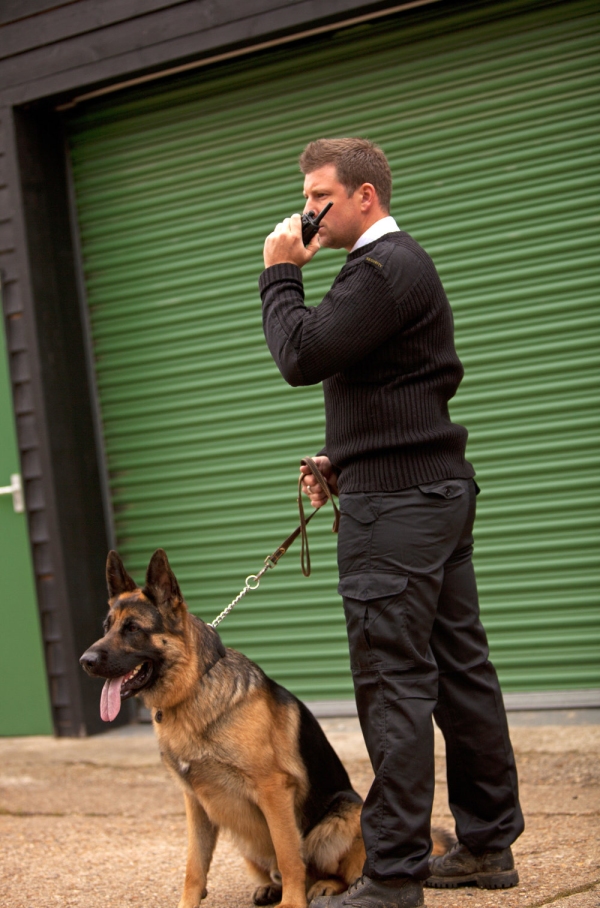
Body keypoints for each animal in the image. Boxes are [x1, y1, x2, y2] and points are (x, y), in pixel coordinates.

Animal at [81, 548, 450, 908]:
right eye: (107, 626)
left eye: (133, 628)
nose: (85, 661)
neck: (194, 687)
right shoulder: (196, 803)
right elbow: (194, 867)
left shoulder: (274, 790)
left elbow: (288, 856)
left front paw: (292, 903)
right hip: (245, 840)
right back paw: (270, 888)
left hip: (340, 820)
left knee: (334, 870)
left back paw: (326, 888)